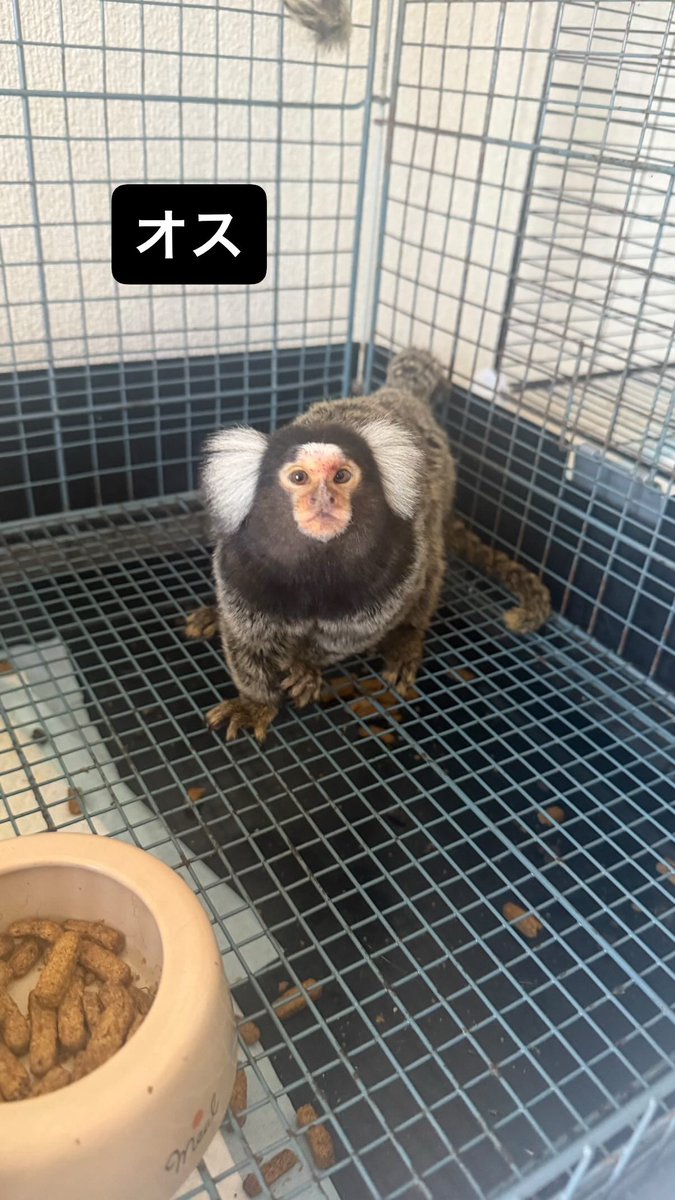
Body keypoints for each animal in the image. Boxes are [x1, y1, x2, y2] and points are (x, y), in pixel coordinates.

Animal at [197, 349, 551, 743]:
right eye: (299, 477)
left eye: (342, 476)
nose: (325, 500)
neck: (314, 565)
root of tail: (399, 395)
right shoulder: (240, 569)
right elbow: (246, 640)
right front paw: (257, 701)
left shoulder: (391, 576)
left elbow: (347, 637)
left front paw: (303, 664)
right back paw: (211, 614)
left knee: (431, 569)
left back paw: (405, 642)